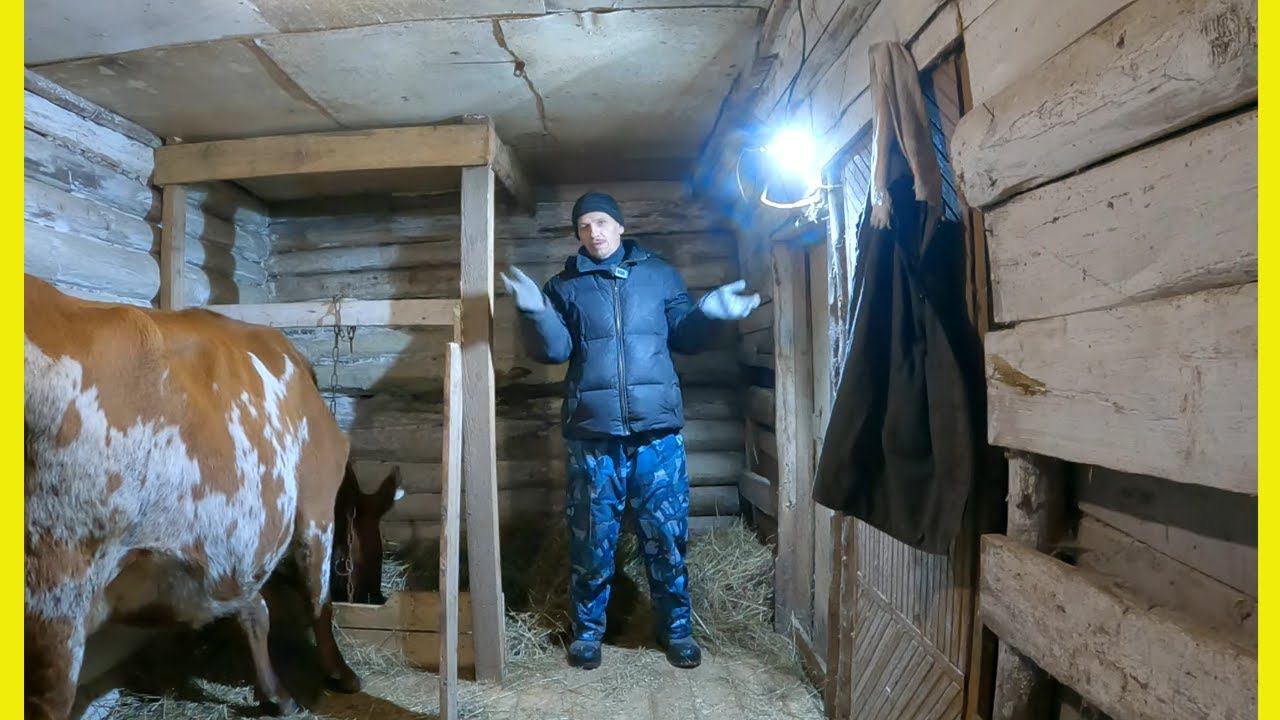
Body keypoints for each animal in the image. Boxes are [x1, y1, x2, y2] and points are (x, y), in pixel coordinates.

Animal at [24, 274, 364, 719]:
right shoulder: (317, 499)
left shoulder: (234, 543)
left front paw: (276, 693)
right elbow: (317, 598)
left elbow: (254, 607)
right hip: (58, 583)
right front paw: (339, 672)